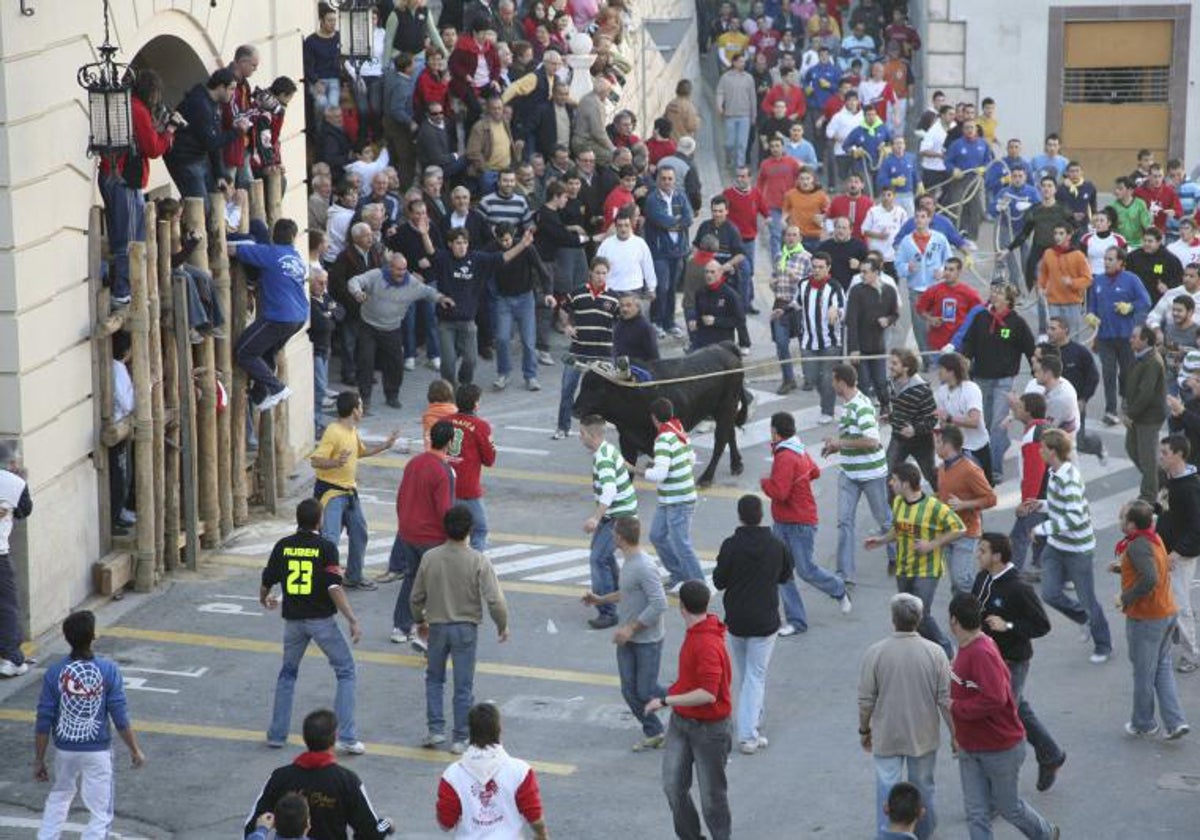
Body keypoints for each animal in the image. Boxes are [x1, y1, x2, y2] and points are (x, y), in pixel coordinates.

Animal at [571, 340, 748, 484]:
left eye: (599, 389)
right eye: (583, 384)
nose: (575, 409)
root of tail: (724, 347)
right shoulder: (627, 439)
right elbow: (629, 468)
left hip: (727, 406)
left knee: (720, 440)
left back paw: (707, 477)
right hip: (722, 410)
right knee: (730, 433)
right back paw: (736, 465)